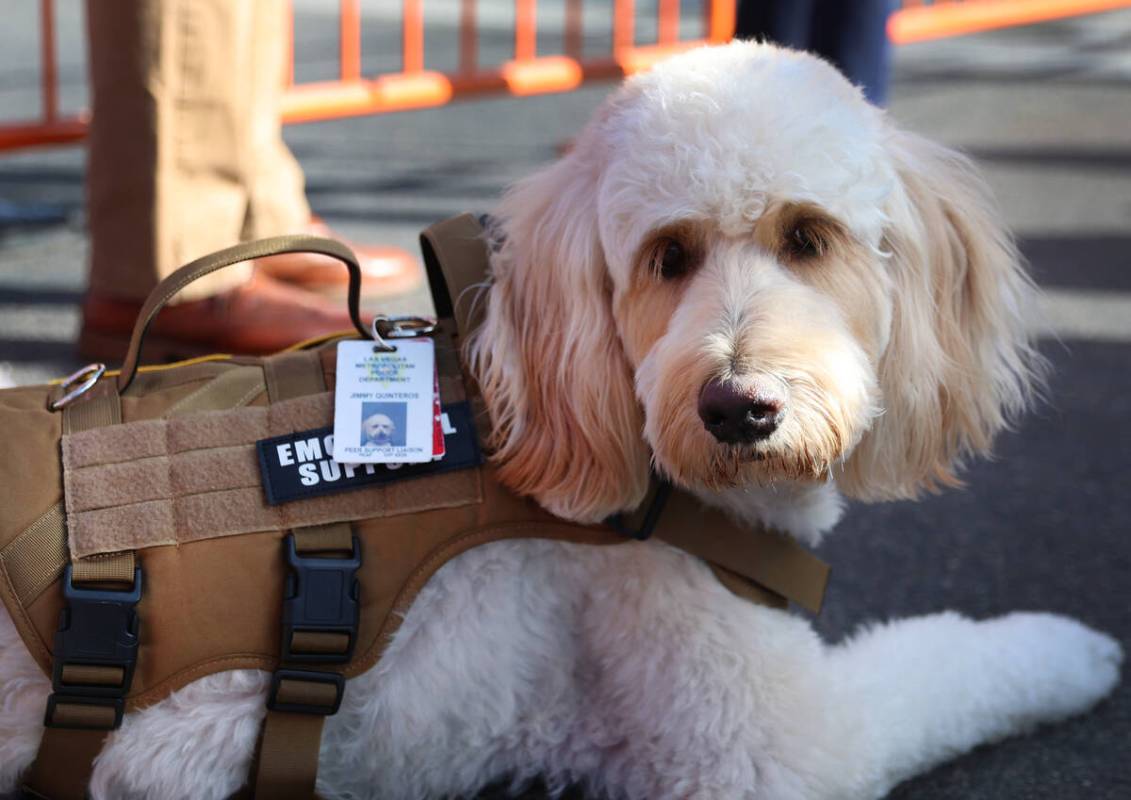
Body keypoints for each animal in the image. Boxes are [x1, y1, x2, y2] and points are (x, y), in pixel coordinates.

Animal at [0, 39, 1121, 800]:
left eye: (809, 237)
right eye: (668, 255)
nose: (737, 409)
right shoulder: (769, 742)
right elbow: (948, 665)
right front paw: (1065, 647)